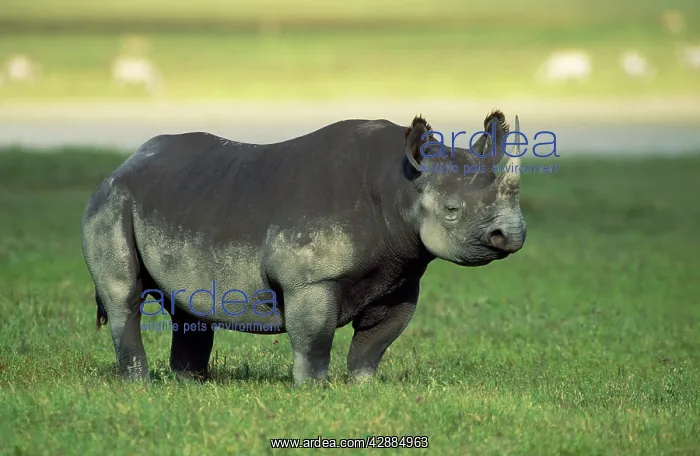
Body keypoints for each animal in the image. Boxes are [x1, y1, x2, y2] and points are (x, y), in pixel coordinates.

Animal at [81, 110, 527, 385]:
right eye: (452, 211)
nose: (512, 235)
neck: (399, 186)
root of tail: (123, 164)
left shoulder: (400, 274)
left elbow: (375, 343)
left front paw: (363, 388)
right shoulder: (311, 280)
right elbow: (314, 339)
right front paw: (313, 390)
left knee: (188, 305)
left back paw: (191, 385)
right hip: (112, 203)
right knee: (124, 297)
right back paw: (141, 386)